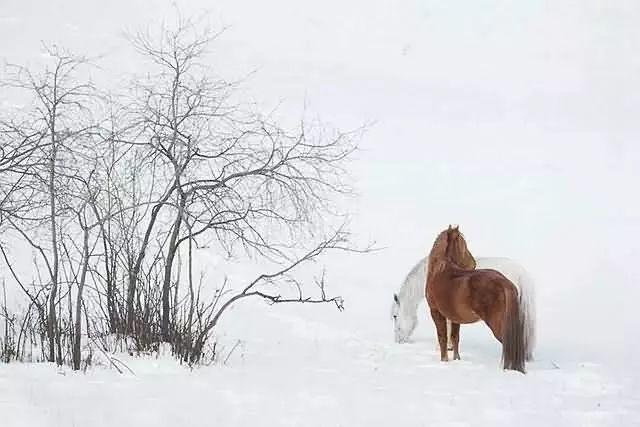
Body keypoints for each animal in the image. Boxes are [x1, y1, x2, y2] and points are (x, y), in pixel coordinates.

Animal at [428, 227, 528, 374]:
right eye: (464, 244)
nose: (473, 263)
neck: (440, 270)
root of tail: (505, 283)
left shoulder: (436, 312)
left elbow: (443, 338)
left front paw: (444, 361)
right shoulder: (455, 318)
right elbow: (455, 338)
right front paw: (456, 359)